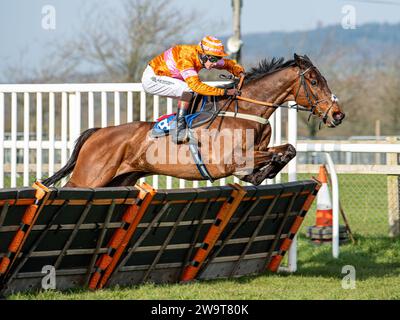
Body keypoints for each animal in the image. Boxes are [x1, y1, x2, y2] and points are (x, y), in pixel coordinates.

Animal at [43, 53, 344, 188]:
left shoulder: (260, 148)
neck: (244, 112)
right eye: (314, 81)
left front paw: (261, 173)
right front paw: (257, 173)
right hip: (89, 178)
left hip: (121, 180)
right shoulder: (227, 161)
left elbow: (288, 150)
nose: (337, 114)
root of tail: (98, 132)